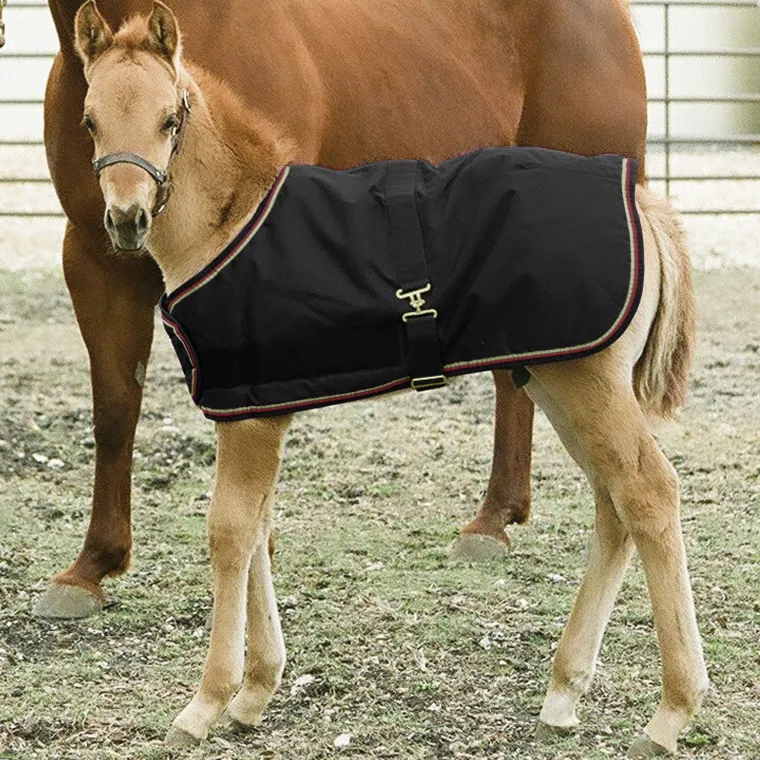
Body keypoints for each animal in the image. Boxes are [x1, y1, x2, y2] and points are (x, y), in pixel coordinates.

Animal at [73, 3, 708, 756]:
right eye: (89, 120)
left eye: (170, 119)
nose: (126, 219)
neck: (231, 220)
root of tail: (644, 204)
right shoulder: (254, 408)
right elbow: (258, 528)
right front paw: (256, 690)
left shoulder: (252, 416)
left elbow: (229, 532)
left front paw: (206, 702)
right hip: (560, 381)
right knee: (614, 503)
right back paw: (563, 692)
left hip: (590, 384)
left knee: (649, 492)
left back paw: (670, 713)